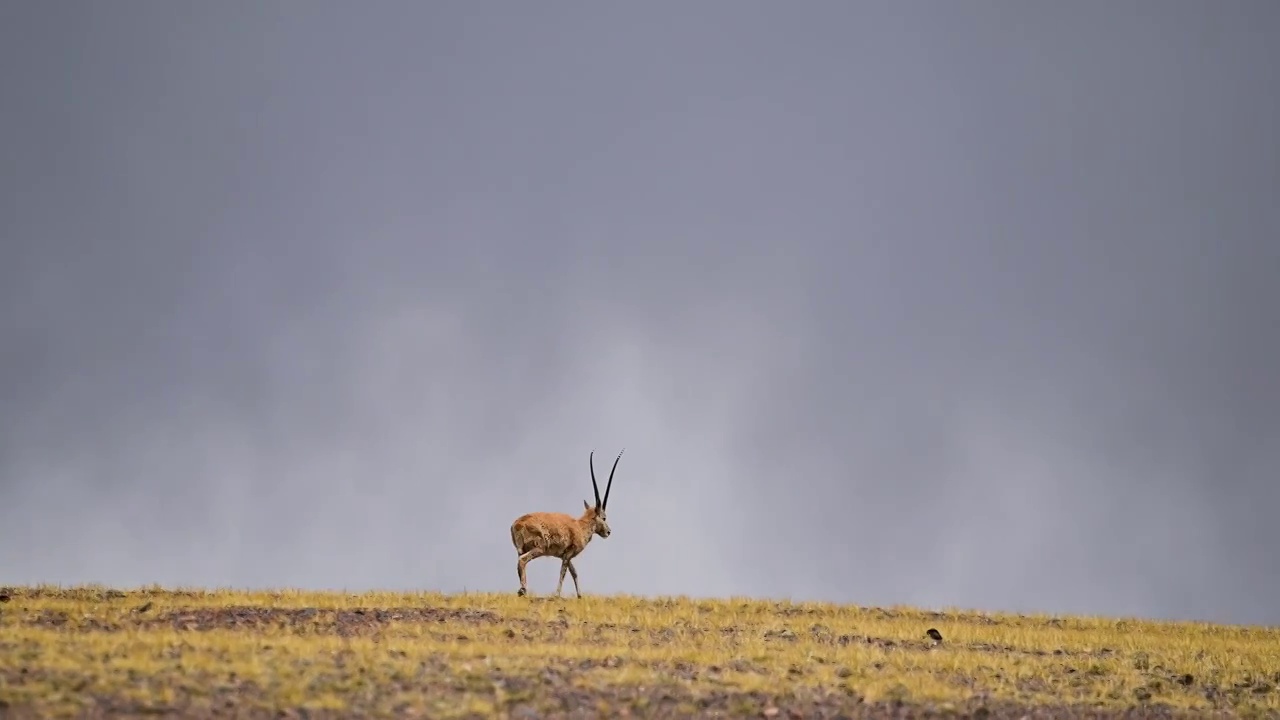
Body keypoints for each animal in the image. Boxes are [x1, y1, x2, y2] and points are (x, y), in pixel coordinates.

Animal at [512, 448, 627, 594]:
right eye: (604, 517)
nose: (608, 532)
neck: (580, 526)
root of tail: (517, 524)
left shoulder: (565, 555)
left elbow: (574, 573)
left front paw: (580, 596)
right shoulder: (568, 554)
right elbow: (563, 572)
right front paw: (557, 594)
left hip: (521, 550)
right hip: (539, 548)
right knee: (522, 560)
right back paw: (523, 590)